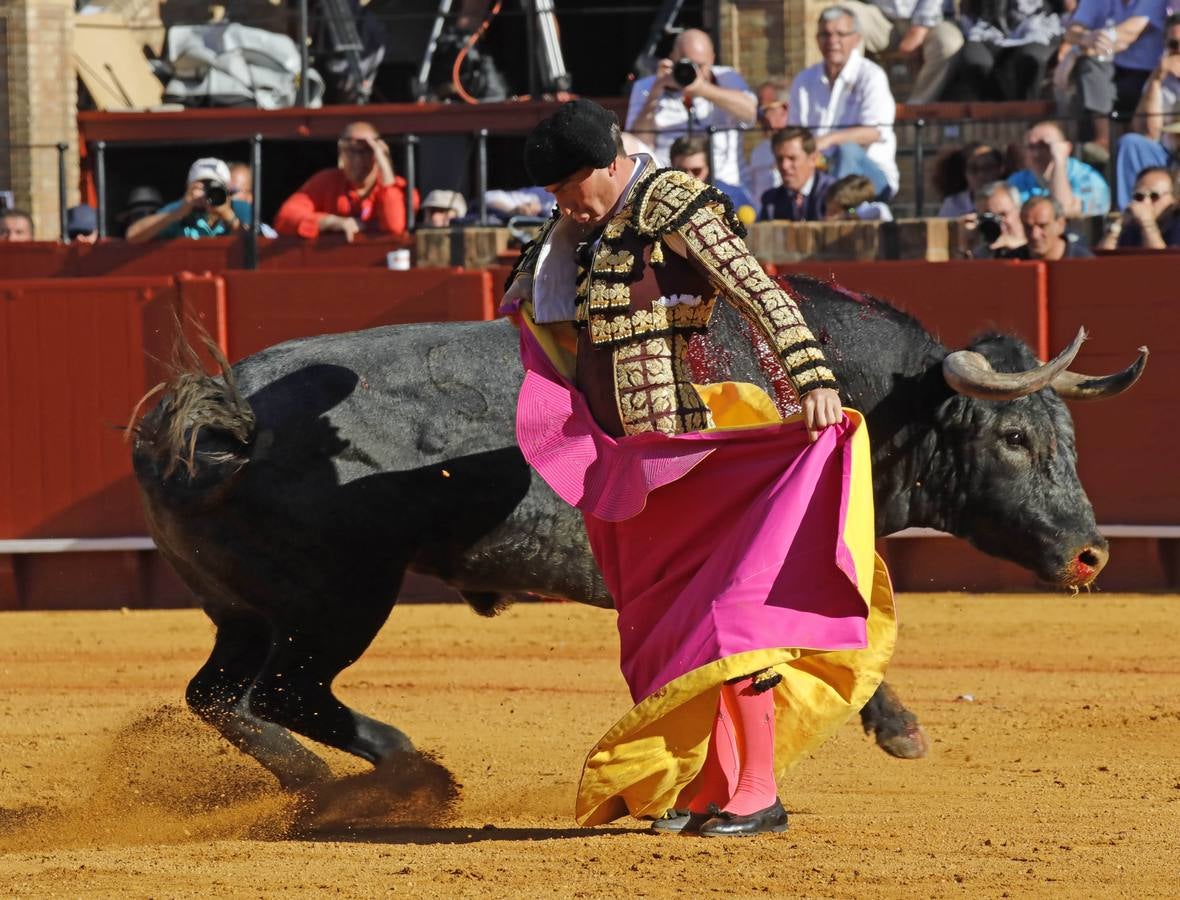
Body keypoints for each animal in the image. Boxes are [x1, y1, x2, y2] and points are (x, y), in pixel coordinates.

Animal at [126, 274, 1142, 787]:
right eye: (1015, 438)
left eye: (1063, 434)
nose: (1089, 551)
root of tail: (226, 416)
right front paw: (898, 731)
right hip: (340, 599)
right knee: (287, 693)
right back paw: (402, 774)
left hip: (246, 611)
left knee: (219, 697)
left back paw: (341, 782)